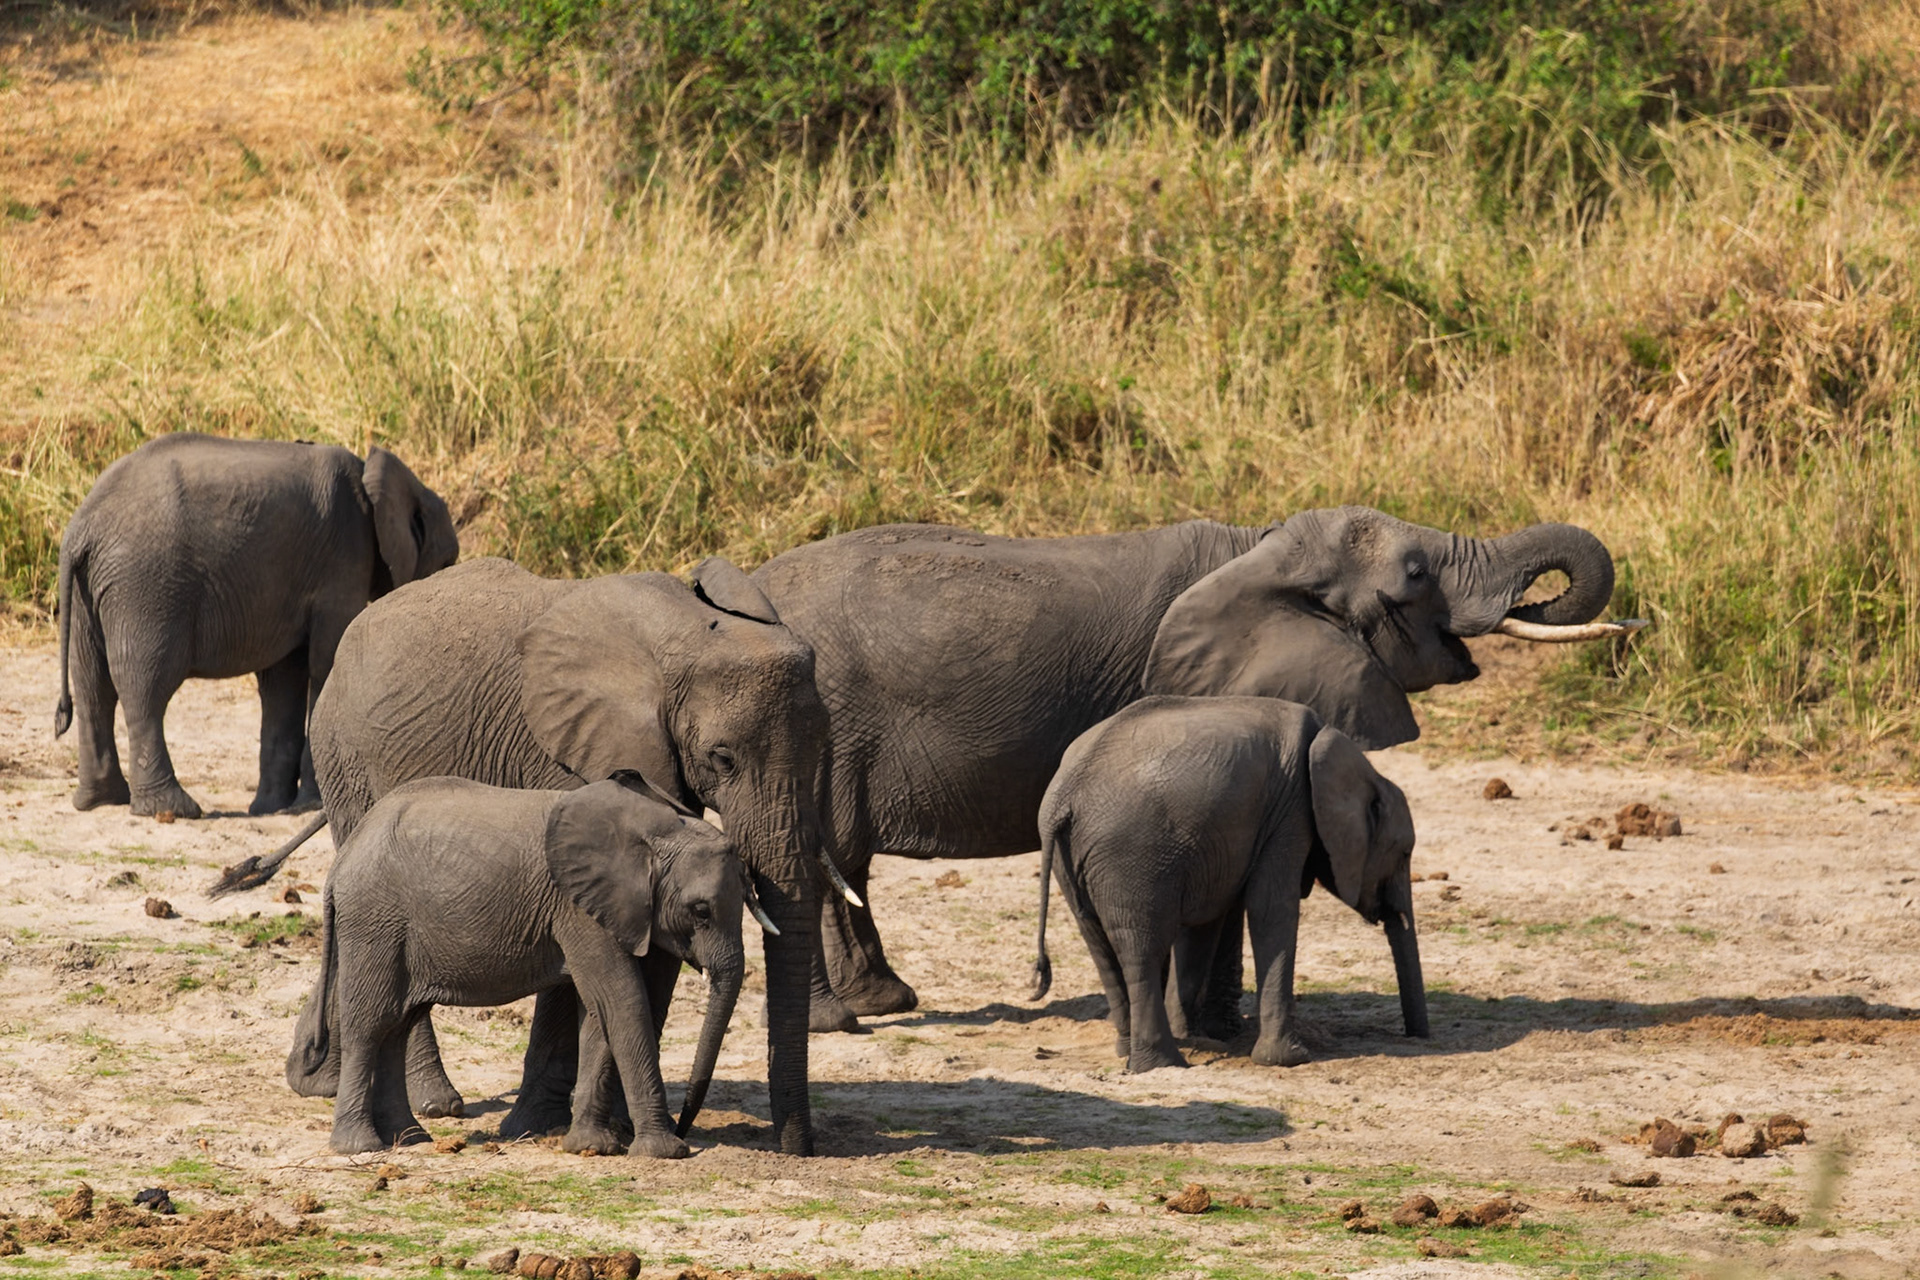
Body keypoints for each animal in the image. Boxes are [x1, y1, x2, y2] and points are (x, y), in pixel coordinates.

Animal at [53, 432, 458, 820]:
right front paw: (309, 805)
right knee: (145, 688)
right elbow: (324, 662)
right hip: (147, 586)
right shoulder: (344, 557)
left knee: (93, 688)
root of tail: (80, 527)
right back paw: (171, 810)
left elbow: (283, 681)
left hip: (92, 591)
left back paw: (99, 802)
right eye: (447, 562)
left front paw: (273, 807)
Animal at [292, 776, 749, 1158]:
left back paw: (411, 1139)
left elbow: (598, 1013)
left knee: (398, 1024)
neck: (656, 827)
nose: (685, 1127)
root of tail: (343, 858)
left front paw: (592, 1148)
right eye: (701, 911)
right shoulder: (579, 909)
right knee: (371, 1024)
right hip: (374, 922)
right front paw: (664, 1151)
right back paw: (360, 1147)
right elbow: (621, 1001)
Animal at [748, 505, 1617, 1032]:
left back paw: (882, 1001)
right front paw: (1216, 1027)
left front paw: (1214, 1025)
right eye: (1414, 574)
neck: (1259, 547)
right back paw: (860, 1011)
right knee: (830, 855)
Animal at [1029, 696, 1420, 1073]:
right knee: (1141, 950)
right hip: (1129, 855)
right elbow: (1270, 909)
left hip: (1075, 861)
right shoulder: (1290, 814)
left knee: (1102, 947)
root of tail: (1064, 794)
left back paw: (1131, 1053)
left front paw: (1200, 1040)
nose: (1416, 1036)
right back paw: (1161, 1064)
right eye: (1404, 853)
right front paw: (1289, 1059)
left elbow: (1203, 924)